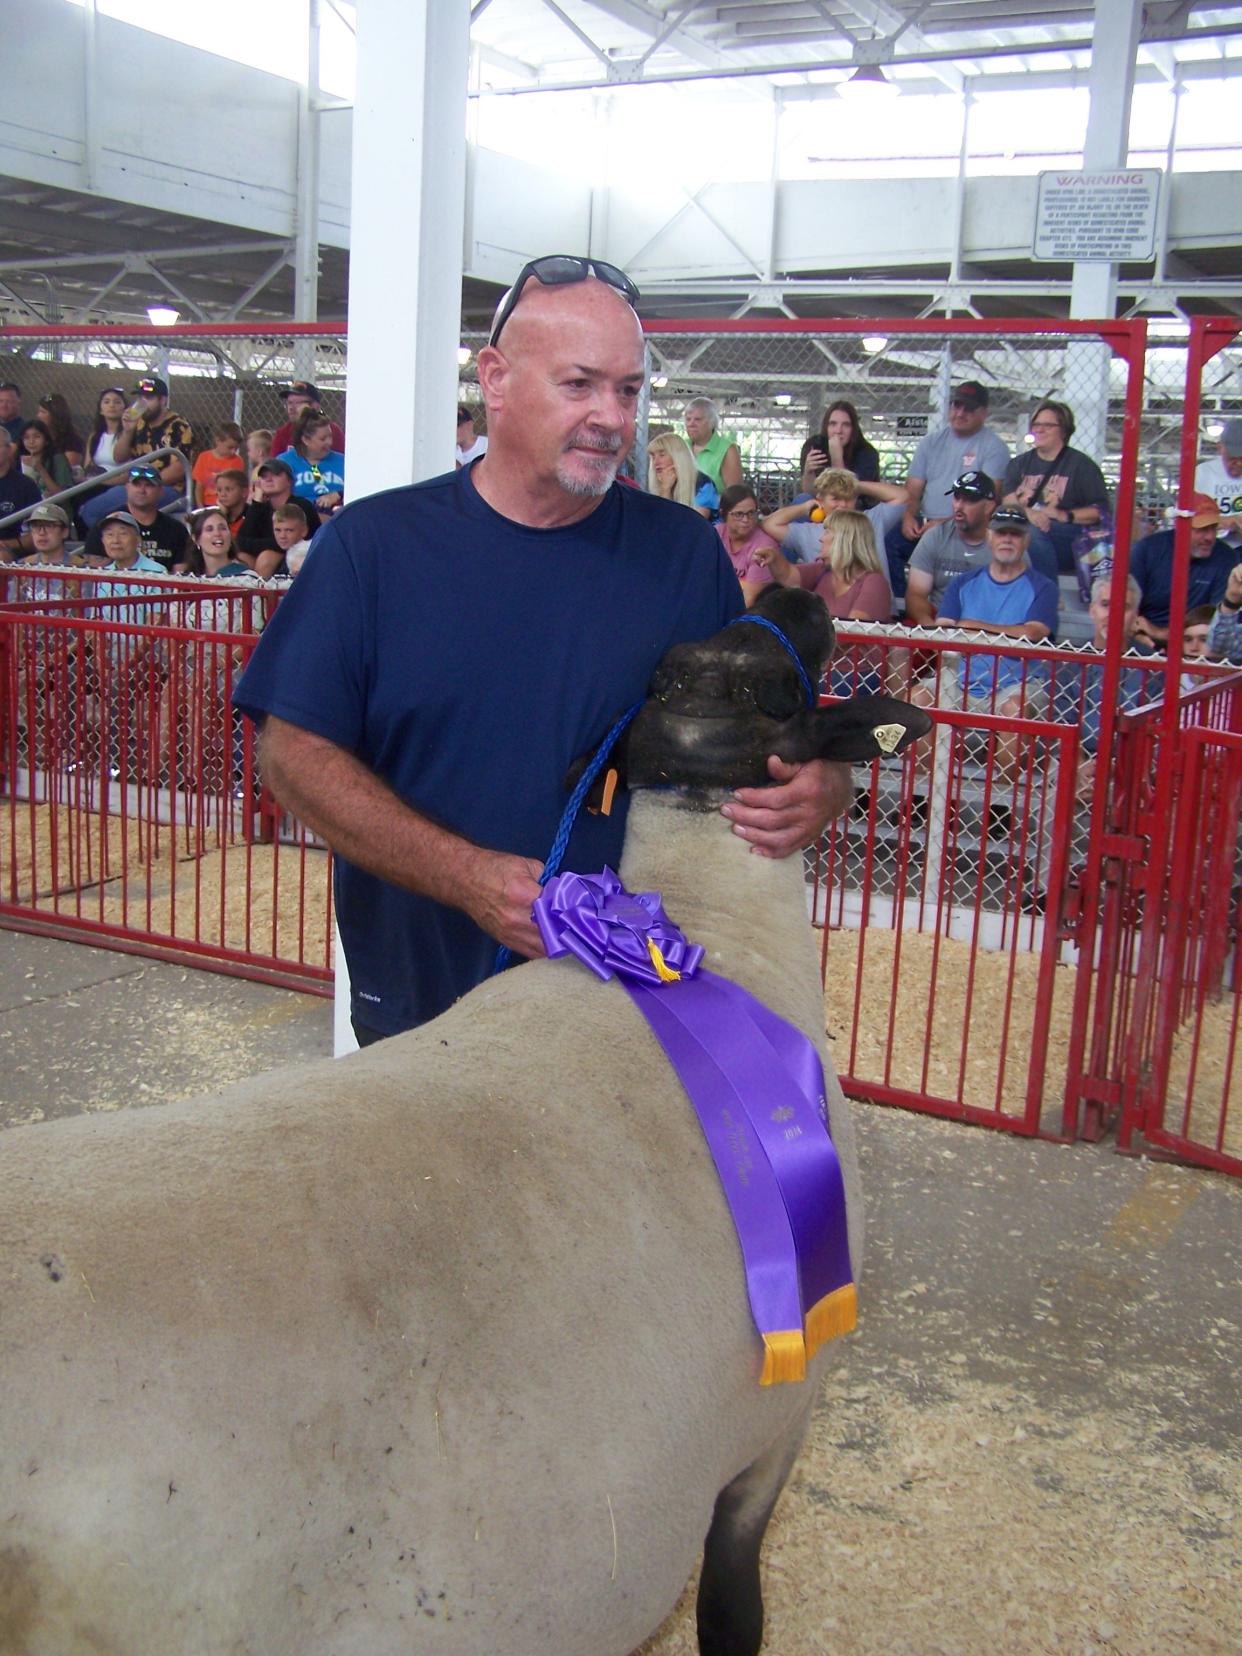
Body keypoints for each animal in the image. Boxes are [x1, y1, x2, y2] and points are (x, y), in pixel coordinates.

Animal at [0, 589, 927, 1649]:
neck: (707, 936)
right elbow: (734, 1607)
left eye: (729, 667)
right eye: (781, 687)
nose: (791, 596)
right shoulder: (778, 1420)